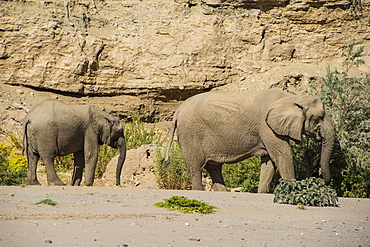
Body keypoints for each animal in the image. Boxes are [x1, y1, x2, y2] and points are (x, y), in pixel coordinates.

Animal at [165, 89, 336, 193]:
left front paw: (263, 193)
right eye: (320, 117)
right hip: (191, 134)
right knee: (196, 168)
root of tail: (177, 112)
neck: (292, 97)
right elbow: (283, 155)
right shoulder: (267, 127)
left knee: (214, 167)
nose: (317, 178)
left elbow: (269, 161)